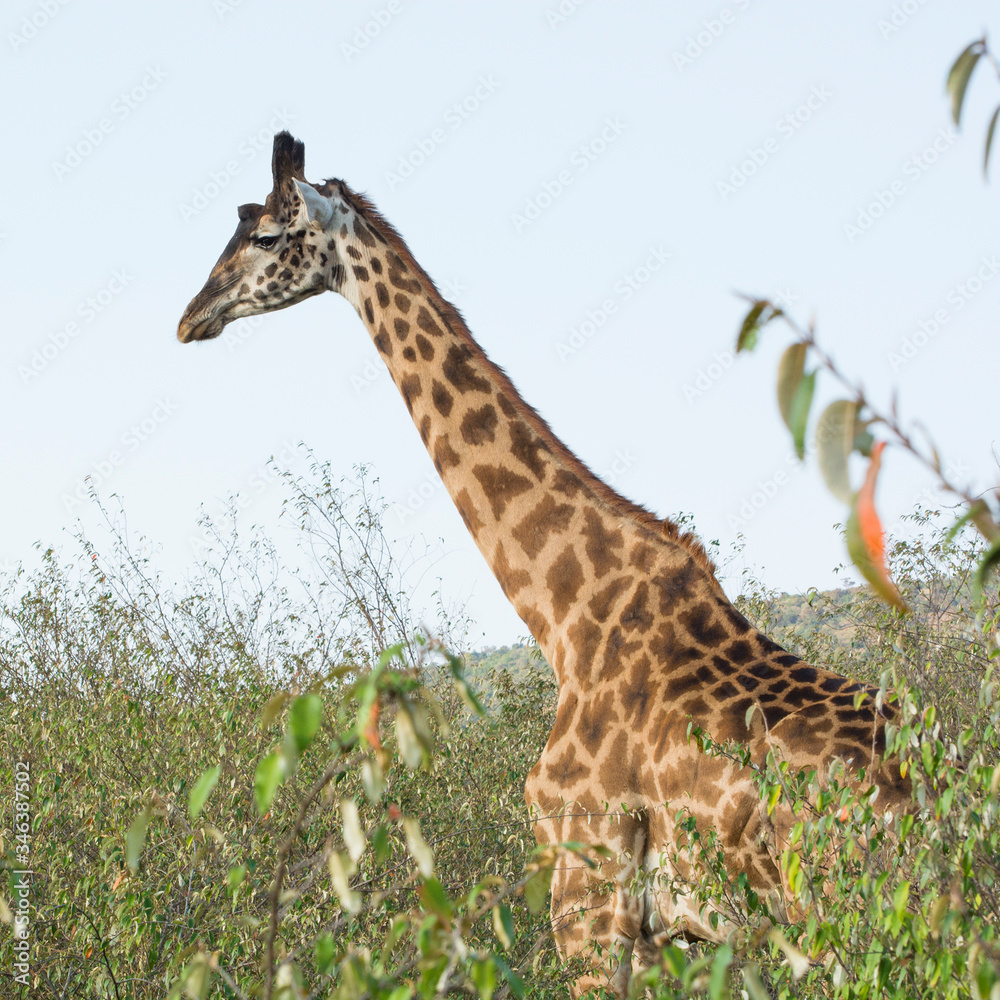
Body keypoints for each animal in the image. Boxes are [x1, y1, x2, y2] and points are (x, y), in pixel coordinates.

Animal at [178, 133, 910, 996]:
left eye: (264, 236)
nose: (191, 317)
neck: (565, 617)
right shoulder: (678, 933)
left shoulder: (587, 896)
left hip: (849, 925)